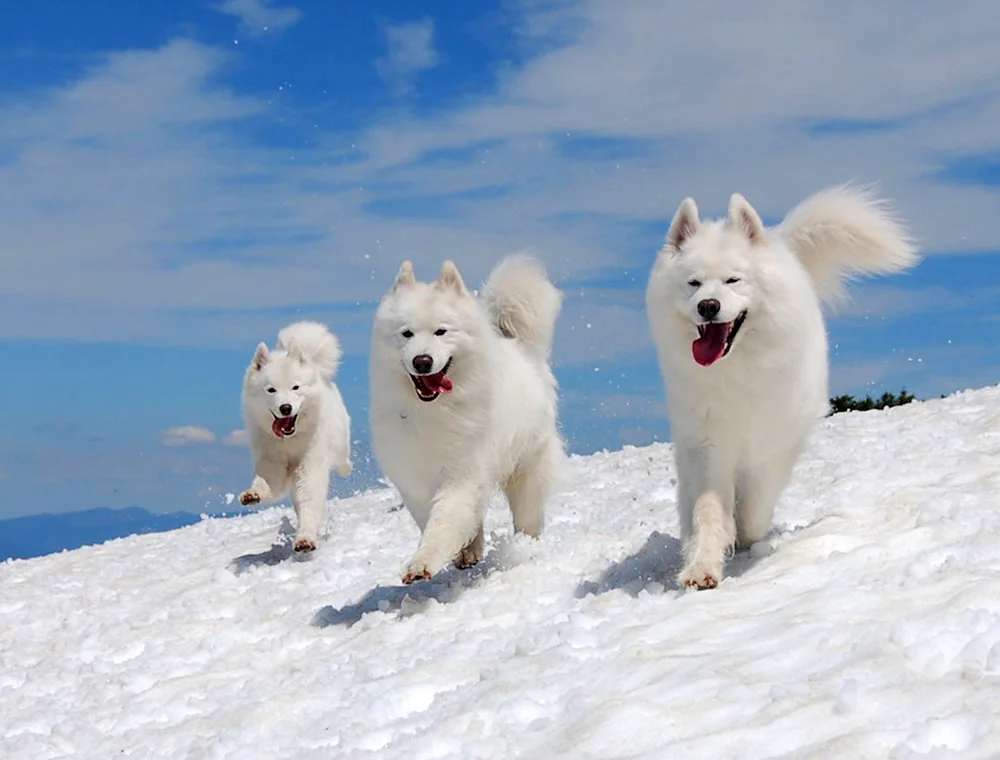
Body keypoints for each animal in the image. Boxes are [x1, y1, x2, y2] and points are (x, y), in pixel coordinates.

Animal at [240, 320, 354, 552]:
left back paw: (346, 468)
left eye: (295, 387)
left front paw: (305, 539)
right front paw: (252, 494)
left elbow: (310, 502)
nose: (285, 408)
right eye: (271, 390)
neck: (290, 441)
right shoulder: (271, 461)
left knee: (342, 458)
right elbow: (265, 482)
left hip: (339, 441)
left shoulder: (309, 466)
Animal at [372, 258, 568, 584]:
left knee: (528, 517)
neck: (432, 411)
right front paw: (464, 550)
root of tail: (522, 348)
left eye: (441, 332)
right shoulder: (414, 478)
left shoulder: (463, 473)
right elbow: (435, 519)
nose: (422, 361)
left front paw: (422, 564)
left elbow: (444, 522)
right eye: (407, 334)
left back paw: (523, 547)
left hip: (527, 468)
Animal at [644, 187, 916, 592]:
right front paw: (702, 566)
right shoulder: (708, 444)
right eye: (693, 283)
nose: (708, 306)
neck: (736, 369)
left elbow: (754, 508)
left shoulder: (771, 444)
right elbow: (708, 510)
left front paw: (746, 538)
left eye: (733, 280)